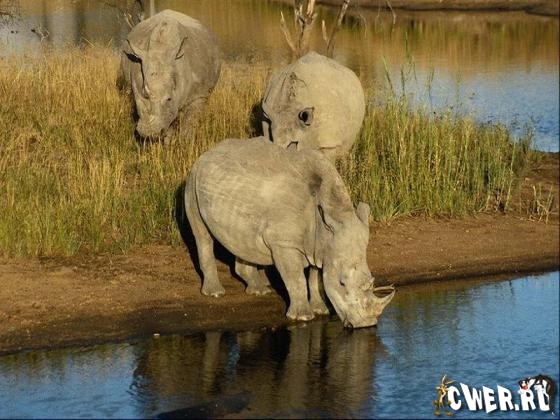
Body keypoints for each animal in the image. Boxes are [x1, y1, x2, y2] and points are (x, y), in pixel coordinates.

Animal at [117, 9, 221, 140]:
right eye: (145, 94)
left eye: (169, 98)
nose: (149, 132)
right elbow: (167, 122)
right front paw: (168, 143)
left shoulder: (198, 95)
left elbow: (189, 123)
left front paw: (186, 143)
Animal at [184, 138, 394, 328]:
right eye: (342, 283)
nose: (366, 324)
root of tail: (206, 153)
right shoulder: (284, 243)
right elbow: (296, 279)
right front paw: (302, 317)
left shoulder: (320, 246)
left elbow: (315, 277)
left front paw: (320, 310)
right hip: (192, 181)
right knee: (202, 236)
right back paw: (215, 293)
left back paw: (258, 290)